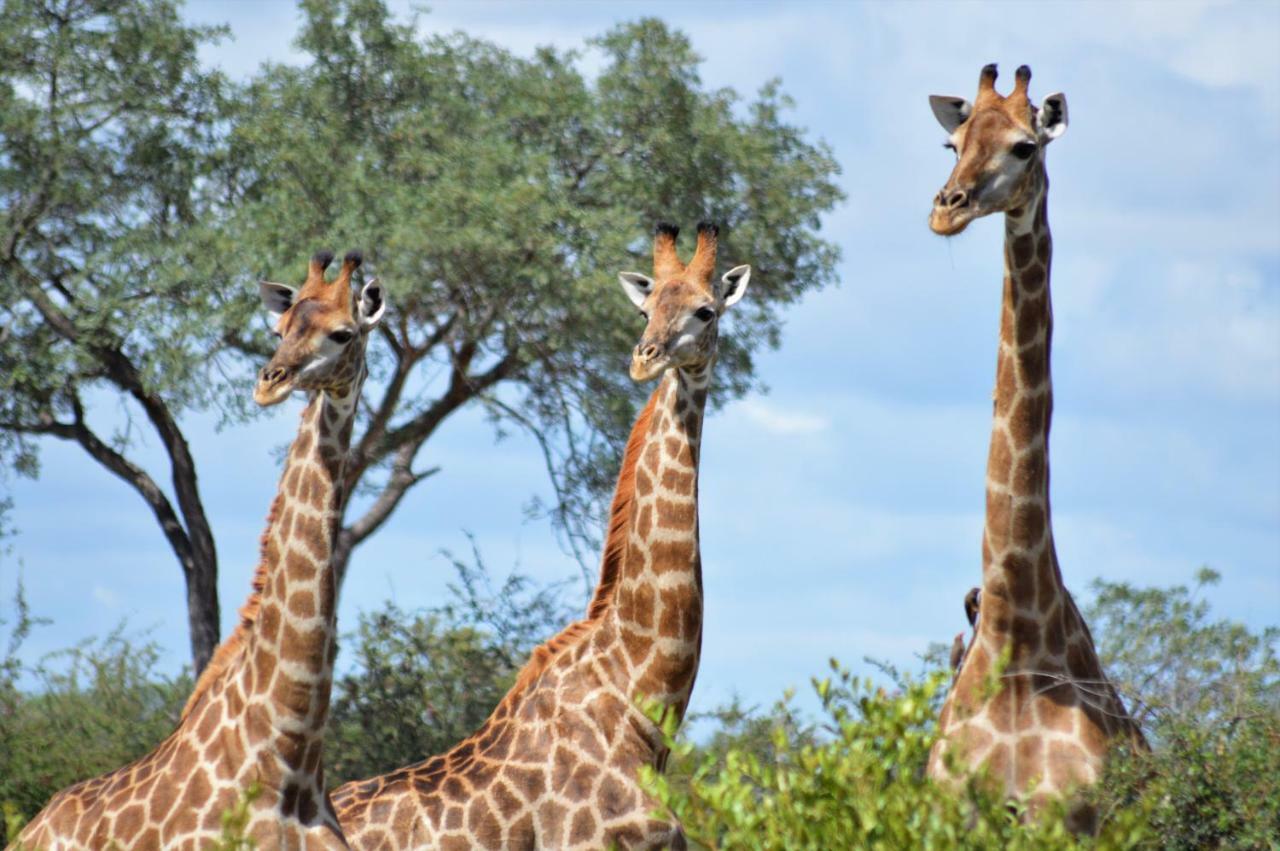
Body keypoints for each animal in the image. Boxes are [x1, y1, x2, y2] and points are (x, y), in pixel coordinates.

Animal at [921, 64, 1152, 829]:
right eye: (952, 141)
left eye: (1025, 146)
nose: (947, 209)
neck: (1017, 631)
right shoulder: (944, 815)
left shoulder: (1067, 818)